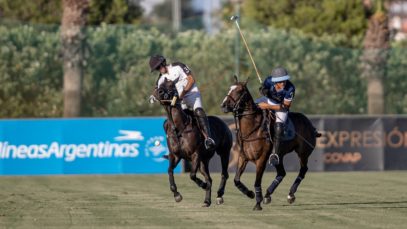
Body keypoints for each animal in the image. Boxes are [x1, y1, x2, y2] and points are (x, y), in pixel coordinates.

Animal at [155, 78, 234, 208]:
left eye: (171, 85)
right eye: (159, 84)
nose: (160, 92)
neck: (179, 128)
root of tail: (222, 122)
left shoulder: (195, 154)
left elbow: (192, 175)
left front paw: (202, 185)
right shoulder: (175, 156)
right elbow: (170, 170)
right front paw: (177, 195)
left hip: (224, 152)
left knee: (224, 174)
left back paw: (219, 196)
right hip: (204, 161)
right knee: (209, 178)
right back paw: (207, 201)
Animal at [220, 76, 322, 210]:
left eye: (239, 91)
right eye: (230, 88)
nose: (223, 105)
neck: (252, 130)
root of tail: (311, 125)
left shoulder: (261, 159)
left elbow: (257, 182)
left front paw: (257, 203)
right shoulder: (243, 157)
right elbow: (236, 180)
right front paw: (250, 194)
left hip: (303, 153)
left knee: (303, 170)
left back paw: (290, 194)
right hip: (279, 155)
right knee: (282, 172)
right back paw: (268, 194)